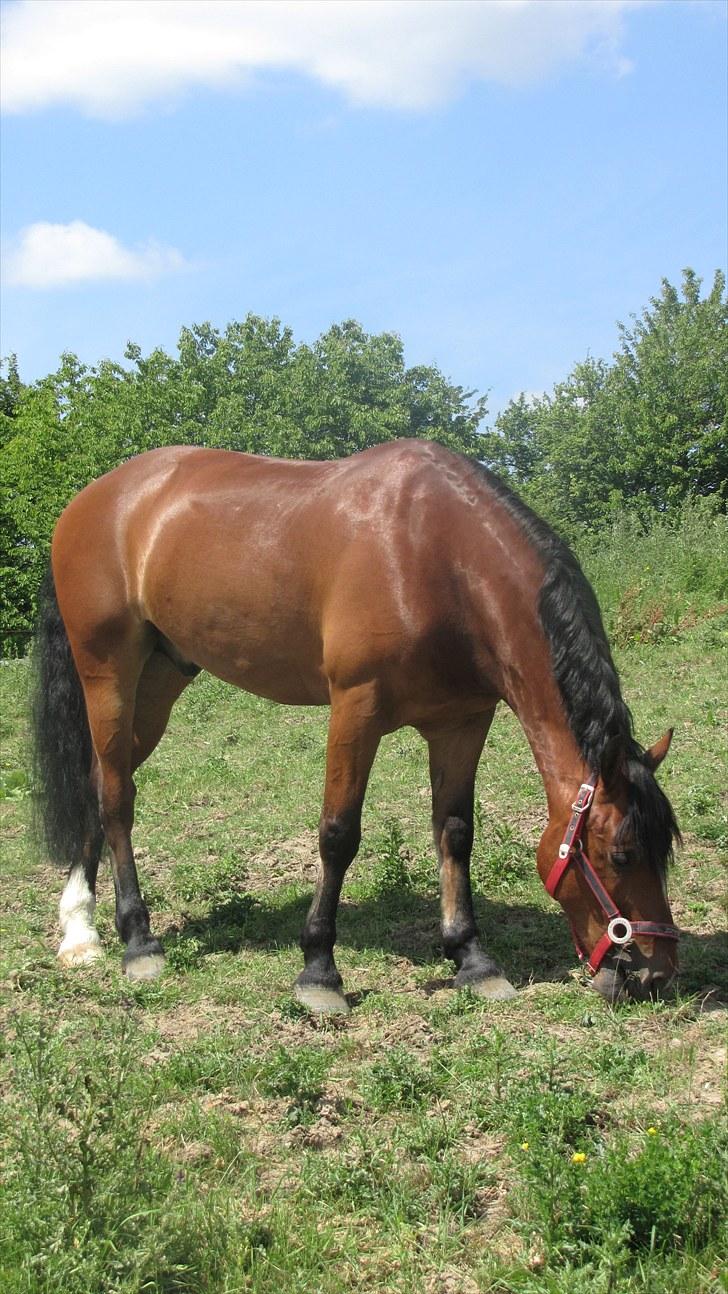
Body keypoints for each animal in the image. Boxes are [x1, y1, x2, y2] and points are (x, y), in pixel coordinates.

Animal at [31, 439, 682, 1004]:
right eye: (621, 854)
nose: (654, 975)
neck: (434, 554)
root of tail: (86, 503)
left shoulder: (463, 721)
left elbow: (455, 832)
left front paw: (472, 958)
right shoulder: (356, 709)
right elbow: (339, 834)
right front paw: (319, 970)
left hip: (161, 682)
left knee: (98, 783)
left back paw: (80, 930)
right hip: (109, 676)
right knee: (116, 797)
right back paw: (137, 941)